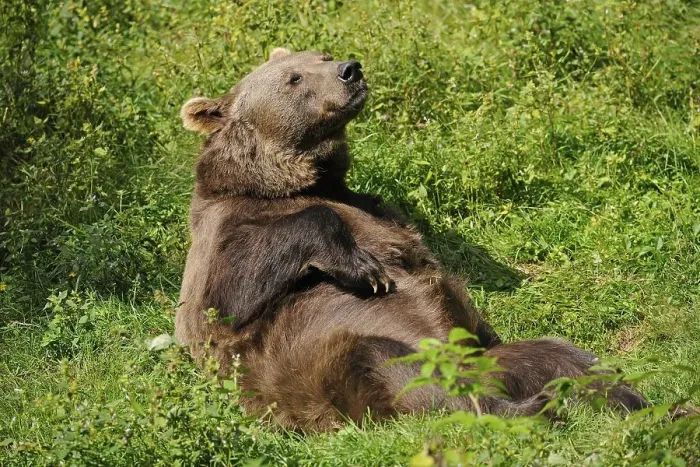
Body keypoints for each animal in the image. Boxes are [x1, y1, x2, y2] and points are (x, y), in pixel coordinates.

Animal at [175, 48, 647, 431]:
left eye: (322, 55)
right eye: (294, 78)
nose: (350, 69)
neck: (289, 182)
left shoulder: (378, 209)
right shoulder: (227, 233)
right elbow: (228, 297)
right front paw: (366, 269)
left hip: (495, 360)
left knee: (561, 355)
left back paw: (631, 398)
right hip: (335, 368)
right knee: (406, 372)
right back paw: (532, 408)